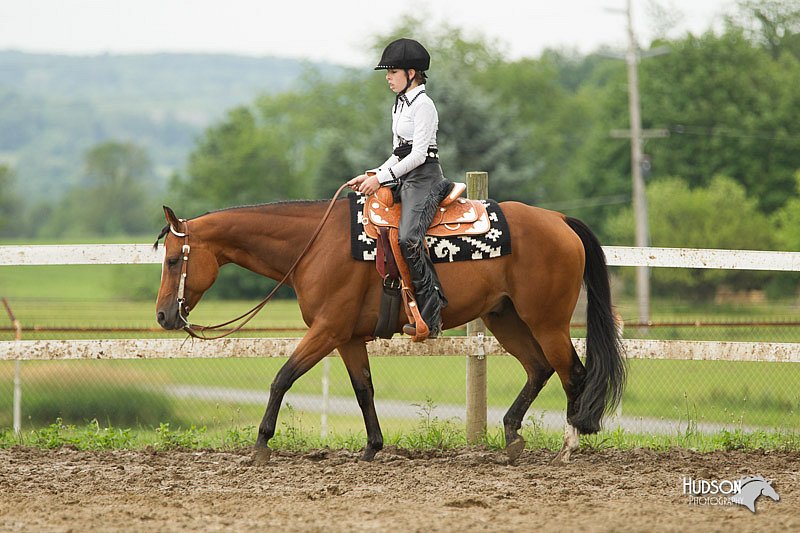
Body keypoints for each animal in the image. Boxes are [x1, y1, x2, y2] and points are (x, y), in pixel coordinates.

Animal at [155, 193, 624, 464]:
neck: (315, 244)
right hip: (504, 318)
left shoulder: (326, 331)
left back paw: (568, 448)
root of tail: (560, 220)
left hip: (547, 321)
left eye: (174, 259)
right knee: (539, 368)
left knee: (573, 373)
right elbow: (363, 388)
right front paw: (372, 447)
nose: (162, 316)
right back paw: (511, 437)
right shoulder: (347, 338)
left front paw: (260, 445)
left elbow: (282, 378)